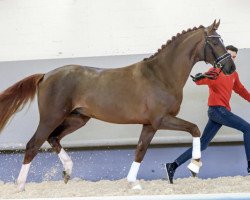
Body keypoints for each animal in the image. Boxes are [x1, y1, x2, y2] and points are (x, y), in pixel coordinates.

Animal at [0, 20, 234, 191]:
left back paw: (67, 171)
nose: (230, 67)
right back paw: (20, 186)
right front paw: (195, 166)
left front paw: (133, 183)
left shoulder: (150, 125)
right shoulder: (161, 119)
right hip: (52, 117)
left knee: (53, 138)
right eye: (215, 43)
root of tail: (45, 75)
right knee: (34, 144)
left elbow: (140, 150)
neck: (161, 75)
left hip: (77, 119)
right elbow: (194, 128)